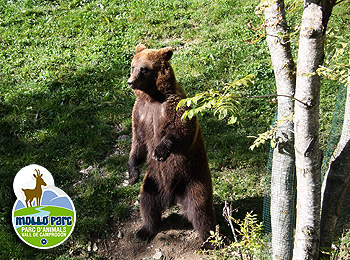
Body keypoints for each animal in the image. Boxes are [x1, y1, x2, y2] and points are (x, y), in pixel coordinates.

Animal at [127, 43, 215, 245]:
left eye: (144, 69)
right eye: (133, 66)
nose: (130, 82)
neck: (152, 97)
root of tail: (172, 197)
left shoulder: (174, 107)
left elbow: (180, 130)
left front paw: (160, 151)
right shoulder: (140, 114)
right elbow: (138, 143)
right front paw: (132, 172)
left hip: (193, 179)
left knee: (201, 210)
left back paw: (209, 240)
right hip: (154, 181)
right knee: (147, 203)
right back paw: (145, 230)